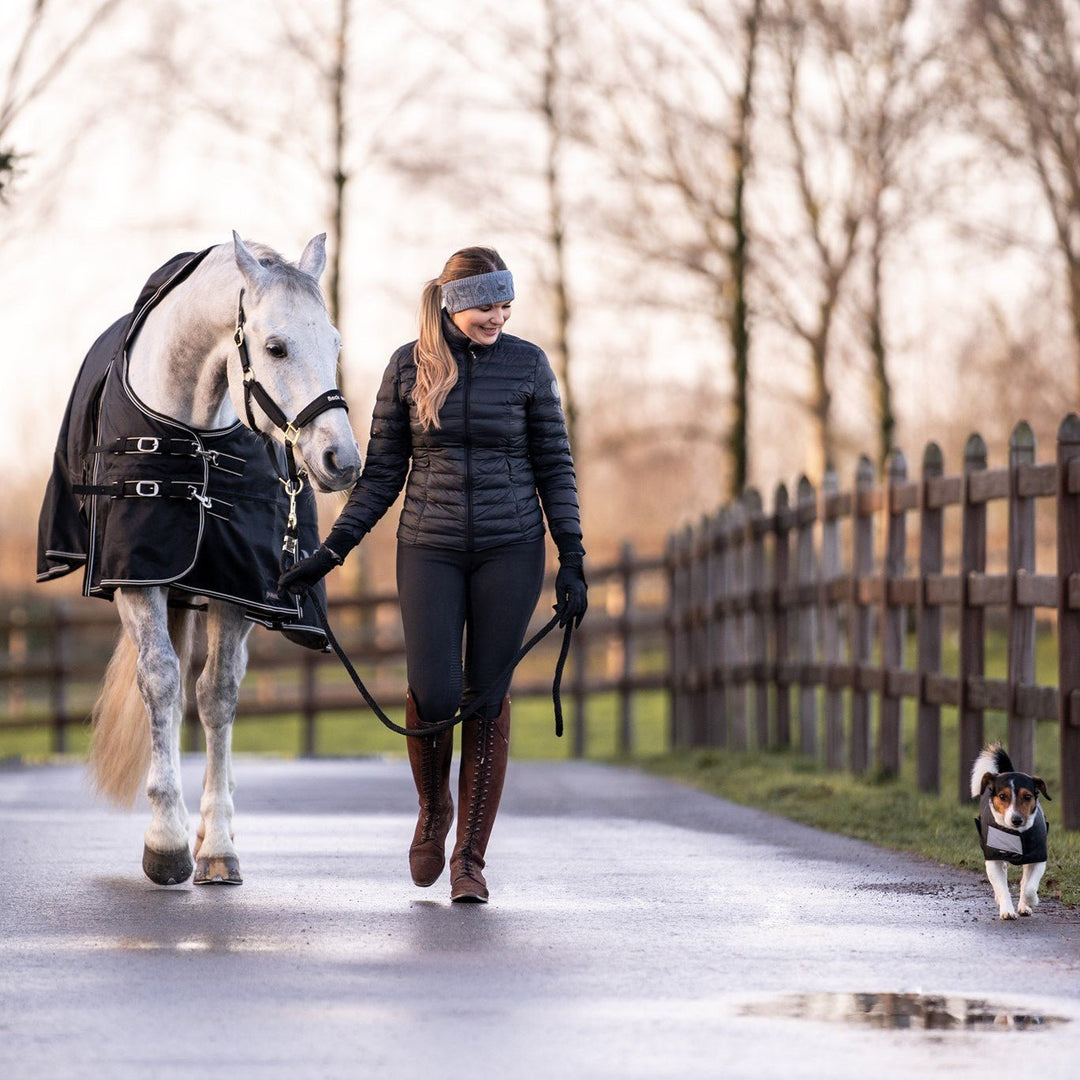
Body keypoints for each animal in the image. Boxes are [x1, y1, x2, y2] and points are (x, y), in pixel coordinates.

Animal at [88, 232, 358, 881]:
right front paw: (166, 842)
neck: (194, 439)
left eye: (335, 343)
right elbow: (161, 681)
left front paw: (215, 846)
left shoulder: (237, 587)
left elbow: (218, 696)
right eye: (275, 347)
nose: (342, 460)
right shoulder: (138, 577)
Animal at [972, 743, 1045, 920]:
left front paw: (1030, 901)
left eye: (1027, 797)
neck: (1015, 833)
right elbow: (1001, 887)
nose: (1016, 819)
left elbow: (1029, 887)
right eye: (1002, 796)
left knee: (1025, 881)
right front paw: (1007, 910)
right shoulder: (993, 860)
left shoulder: (1038, 858)